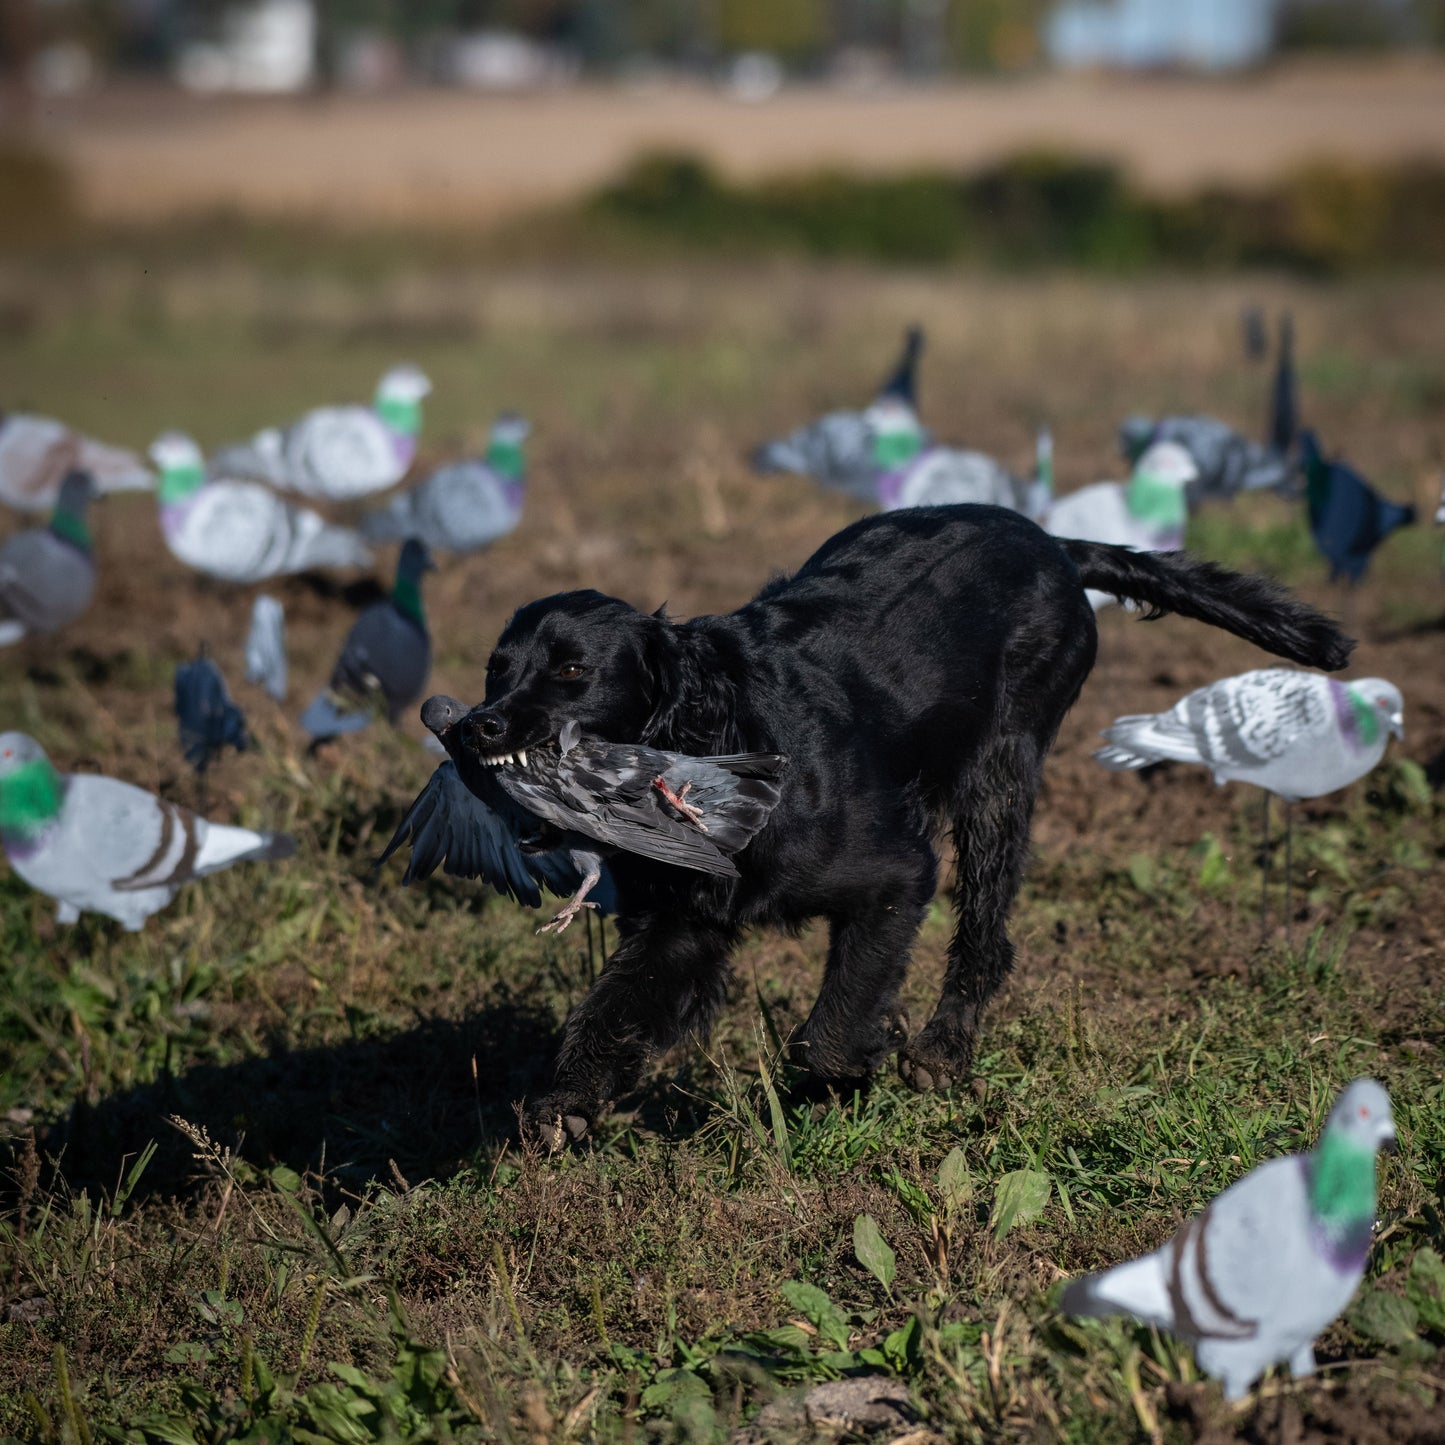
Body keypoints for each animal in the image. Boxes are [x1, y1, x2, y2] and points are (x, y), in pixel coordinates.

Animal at [456, 502, 1346, 1144]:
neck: (721, 733)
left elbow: (831, 1027)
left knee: (985, 931)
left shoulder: (894, 875)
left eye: (574, 670)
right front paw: (564, 1103)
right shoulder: (682, 926)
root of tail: (1049, 541)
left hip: (1000, 772)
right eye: (495, 669)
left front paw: (852, 1072)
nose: (475, 727)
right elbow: (609, 1008)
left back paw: (942, 1051)